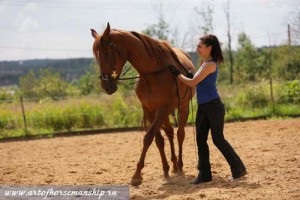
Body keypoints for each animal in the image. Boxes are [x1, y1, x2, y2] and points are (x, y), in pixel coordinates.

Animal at [90, 23, 196, 186]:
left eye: (107, 53)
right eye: (97, 56)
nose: (106, 86)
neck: (152, 74)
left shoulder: (163, 109)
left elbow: (148, 138)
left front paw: (137, 175)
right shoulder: (149, 109)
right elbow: (158, 140)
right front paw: (164, 170)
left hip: (182, 108)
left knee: (180, 134)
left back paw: (179, 168)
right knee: (170, 133)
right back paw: (173, 166)